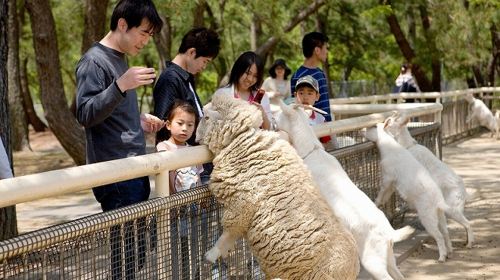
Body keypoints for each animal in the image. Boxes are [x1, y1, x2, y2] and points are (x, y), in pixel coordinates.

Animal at [195, 95, 360, 278]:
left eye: (206, 117)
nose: (195, 138)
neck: (242, 139)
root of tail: (353, 268)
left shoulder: (243, 203)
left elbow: (229, 232)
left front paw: (211, 255)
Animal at [278, 101, 414, 280]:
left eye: (279, 115)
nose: (273, 124)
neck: (312, 151)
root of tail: (389, 234)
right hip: (388, 256)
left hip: (373, 261)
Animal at [366, 122, 456, 262]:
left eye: (375, 126)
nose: (363, 129)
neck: (389, 148)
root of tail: (439, 201)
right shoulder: (392, 183)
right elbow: (387, 194)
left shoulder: (387, 176)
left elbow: (382, 191)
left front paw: (375, 202)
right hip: (439, 214)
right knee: (445, 232)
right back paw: (450, 253)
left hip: (427, 217)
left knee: (439, 235)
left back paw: (441, 258)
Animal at [384, 112, 474, 248]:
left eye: (390, 122)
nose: (382, 124)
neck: (408, 146)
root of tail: (464, 192)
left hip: (452, 209)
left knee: (468, 223)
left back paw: (469, 244)